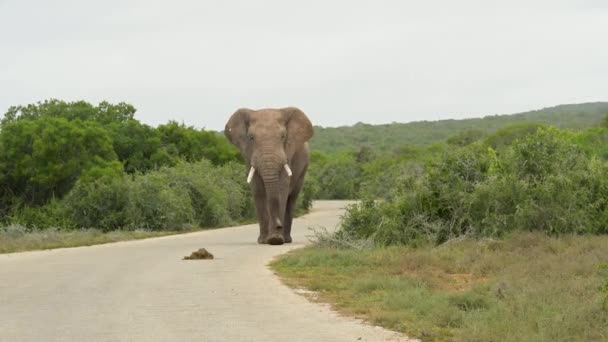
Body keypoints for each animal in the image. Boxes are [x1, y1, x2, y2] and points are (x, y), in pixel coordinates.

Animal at [226, 107, 316, 243]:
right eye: (251, 137)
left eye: (283, 136)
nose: (278, 225)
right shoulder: (249, 158)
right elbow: (258, 190)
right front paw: (265, 240)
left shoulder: (288, 155)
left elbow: (281, 190)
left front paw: (276, 240)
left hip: (303, 170)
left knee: (292, 199)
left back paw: (286, 239)